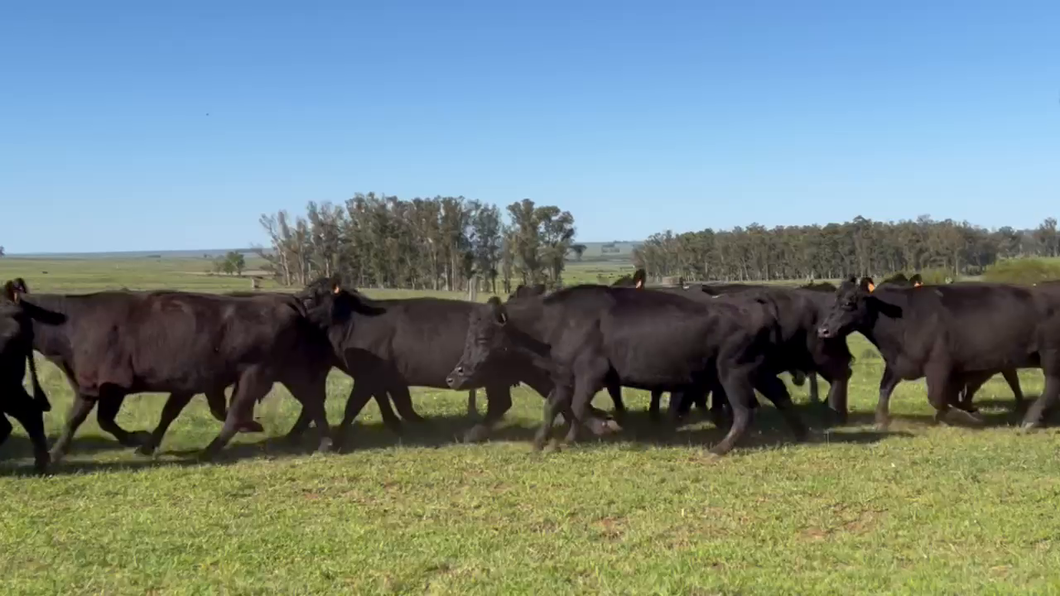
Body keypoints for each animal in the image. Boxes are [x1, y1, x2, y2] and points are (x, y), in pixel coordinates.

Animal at [14, 288, 332, 460]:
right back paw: (323, 442)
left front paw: (55, 454)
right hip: (288, 372)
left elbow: (80, 420)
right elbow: (150, 416)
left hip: (257, 375)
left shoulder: (100, 386)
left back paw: (210, 451)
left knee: (237, 414)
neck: (71, 321)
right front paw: (141, 442)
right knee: (313, 402)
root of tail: (283, 301)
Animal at [445, 282, 801, 453]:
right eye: (469, 335)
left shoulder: (592, 372)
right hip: (758, 371)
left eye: (483, 336)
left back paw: (720, 448)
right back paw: (804, 433)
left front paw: (587, 434)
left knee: (745, 410)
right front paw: (545, 442)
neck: (556, 323)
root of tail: (752, 301)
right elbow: (556, 407)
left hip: (733, 372)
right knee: (780, 395)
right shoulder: (566, 376)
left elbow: (578, 407)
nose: (455, 374)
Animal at [814, 275, 1055, 424]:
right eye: (833, 301)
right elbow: (884, 388)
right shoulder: (898, 363)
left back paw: (1030, 419)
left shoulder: (939, 365)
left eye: (849, 302)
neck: (904, 318)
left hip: (1049, 355)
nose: (823, 330)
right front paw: (881, 420)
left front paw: (965, 417)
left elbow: (938, 397)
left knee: (1051, 384)